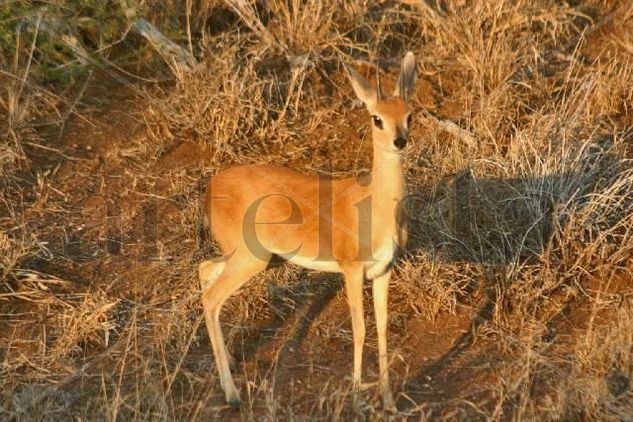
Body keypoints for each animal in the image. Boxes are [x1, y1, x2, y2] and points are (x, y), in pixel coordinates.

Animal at [198, 51, 414, 410]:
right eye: (376, 118)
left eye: (409, 114)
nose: (400, 141)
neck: (376, 205)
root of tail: (212, 184)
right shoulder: (351, 271)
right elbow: (360, 328)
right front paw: (357, 398)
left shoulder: (384, 271)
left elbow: (382, 328)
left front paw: (390, 402)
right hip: (251, 259)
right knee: (211, 297)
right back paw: (232, 394)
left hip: (254, 258)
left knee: (204, 270)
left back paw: (229, 365)